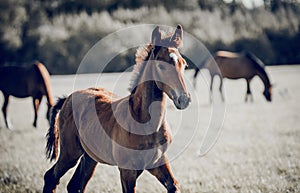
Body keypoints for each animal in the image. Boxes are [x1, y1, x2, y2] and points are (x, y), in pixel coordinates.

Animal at [43, 25, 191, 193]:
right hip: (70, 152)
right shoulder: (127, 171)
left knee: (75, 185)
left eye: (184, 65)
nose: (184, 99)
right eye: (161, 66)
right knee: (51, 177)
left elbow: (174, 186)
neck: (145, 123)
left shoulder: (158, 163)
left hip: (90, 157)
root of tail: (68, 98)